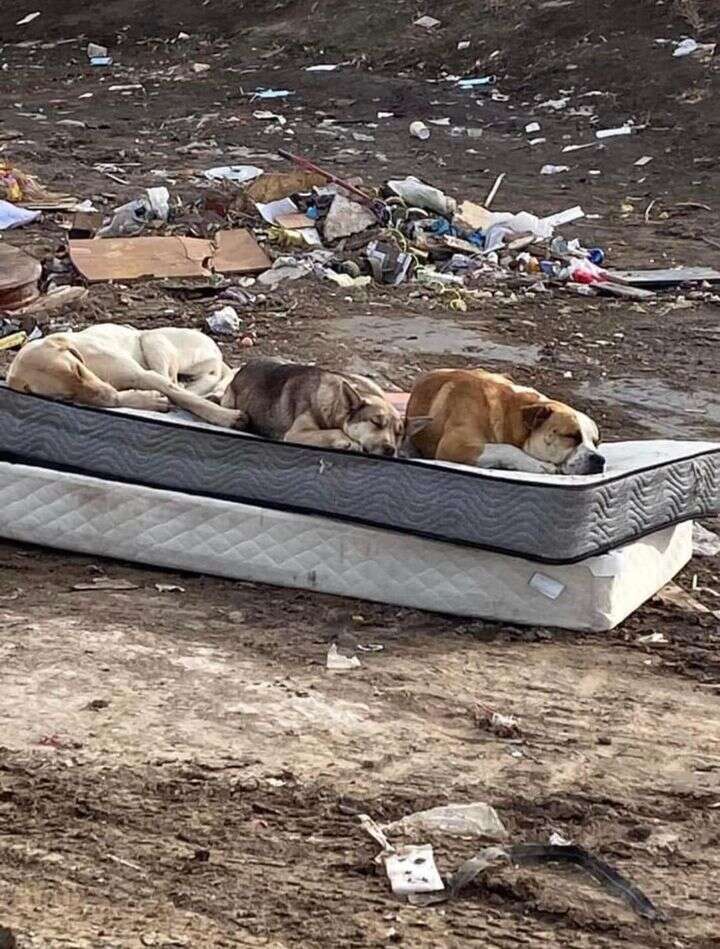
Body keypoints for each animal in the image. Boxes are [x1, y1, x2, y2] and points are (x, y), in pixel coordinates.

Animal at [222, 358, 404, 458]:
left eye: (398, 434)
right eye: (376, 422)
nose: (391, 450)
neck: (334, 403)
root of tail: (244, 366)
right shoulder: (295, 434)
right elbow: (335, 432)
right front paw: (348, 442)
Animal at [404, 368, 600, 474]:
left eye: (596, 442)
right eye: (572, 436)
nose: (599, 459)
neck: (508, 413)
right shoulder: (454, 446)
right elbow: (505, 447)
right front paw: (540, 465)